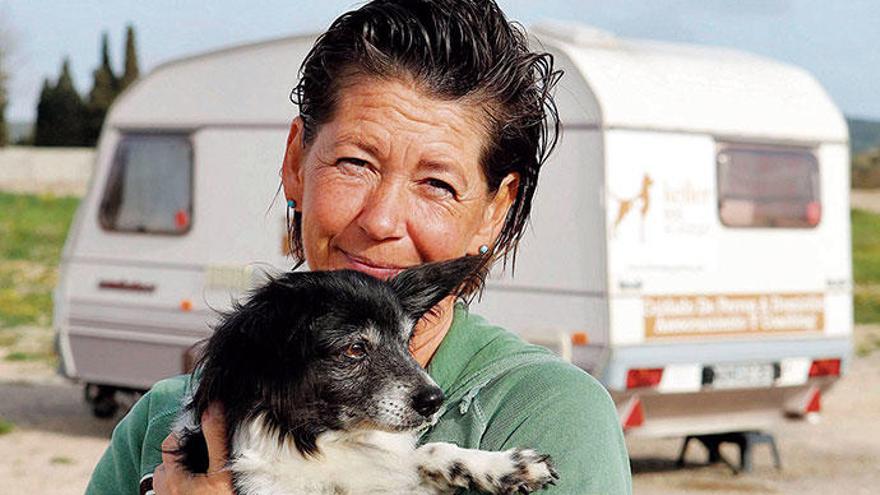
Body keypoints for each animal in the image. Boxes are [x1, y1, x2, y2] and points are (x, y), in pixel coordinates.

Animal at [174, 258, 556, 494]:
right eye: (355, 349)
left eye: (405, 340)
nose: (436, 400)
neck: (323, 442)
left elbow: (428, 451)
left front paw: (505, 467)